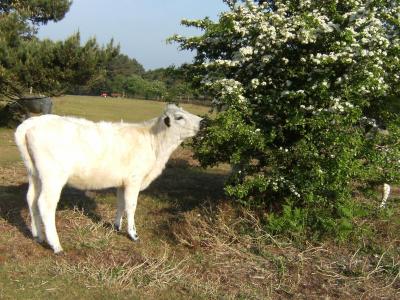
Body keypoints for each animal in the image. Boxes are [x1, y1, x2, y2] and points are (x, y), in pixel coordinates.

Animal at [15, 104, 203, 252]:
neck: (154, 142)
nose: (203, 121)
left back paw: (38, 236)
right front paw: (133, 234)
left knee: (31, 199)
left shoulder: (122, 182)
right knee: (45, 204)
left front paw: (117, 226)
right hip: (52, 177)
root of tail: (34, 122)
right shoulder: (134, 180)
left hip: (35, 174)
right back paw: (55, 245)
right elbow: (131, 206)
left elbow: (120, 204)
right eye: (179, 117)